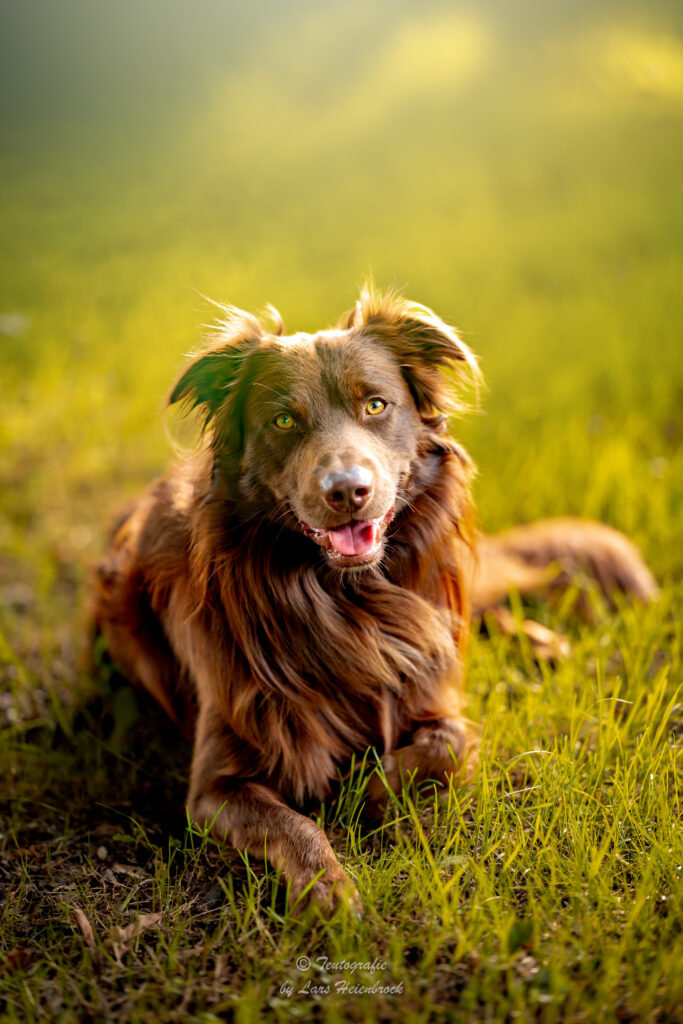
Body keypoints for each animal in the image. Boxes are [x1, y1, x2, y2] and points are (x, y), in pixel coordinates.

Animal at [92, 286, 655, 913]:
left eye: (377, 406)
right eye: (283, 420)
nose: (348, 491)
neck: (351, 602)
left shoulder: (428, 686)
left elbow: (447, 743)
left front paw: (367, 796)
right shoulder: (217, 783)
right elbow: (293, 823)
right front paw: (329, 888)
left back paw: (548, 643)